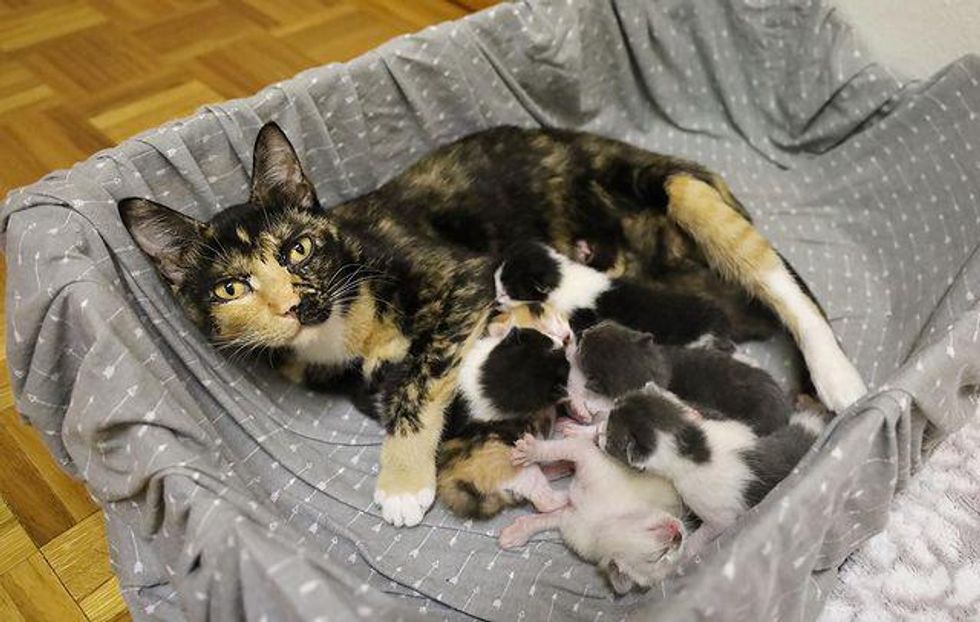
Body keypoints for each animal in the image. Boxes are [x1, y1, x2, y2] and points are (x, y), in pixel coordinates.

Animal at [502, 434, 684, 596]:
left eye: (667, 555)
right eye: (661, 555)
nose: (679, 537)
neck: (602, 521)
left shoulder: (567, 517)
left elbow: (542, 519)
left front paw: (516, 532)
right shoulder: (587, 455)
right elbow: (559, 448)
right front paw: (530, 451)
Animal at [600, 388, 832, 552]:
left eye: (611, 441)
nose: (599, 433)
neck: (694, 445)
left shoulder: (716, 510)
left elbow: (714, 527)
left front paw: (688, 548)